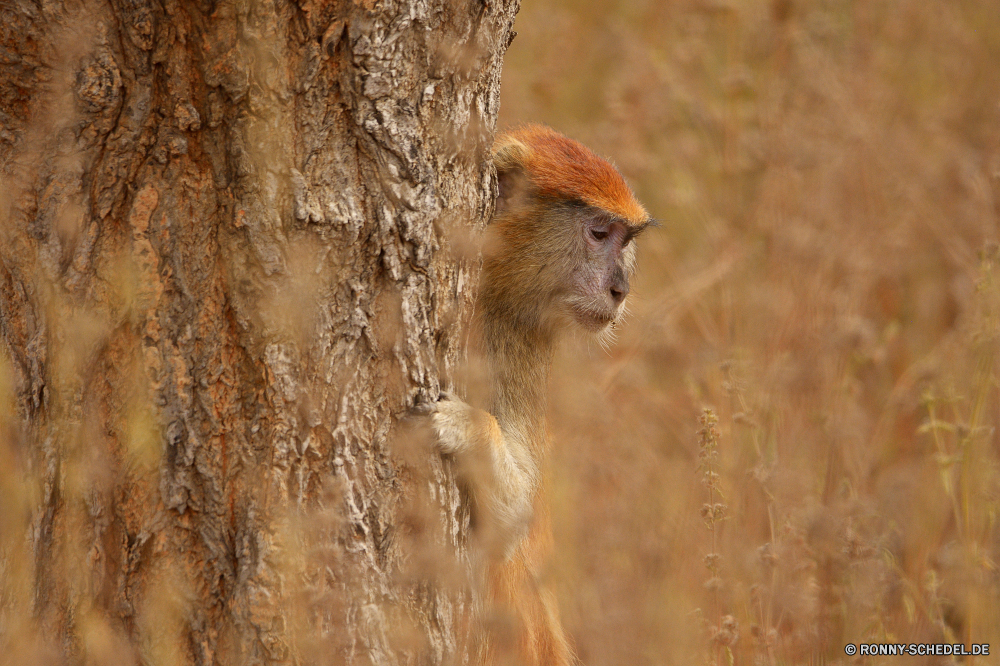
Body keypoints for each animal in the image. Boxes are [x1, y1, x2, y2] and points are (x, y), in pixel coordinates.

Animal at [428, 126, 648, 664]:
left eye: (626, 239)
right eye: (599, 234)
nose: (620, 290)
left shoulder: (519, 336)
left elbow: (514, 516)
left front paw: (467, 429)